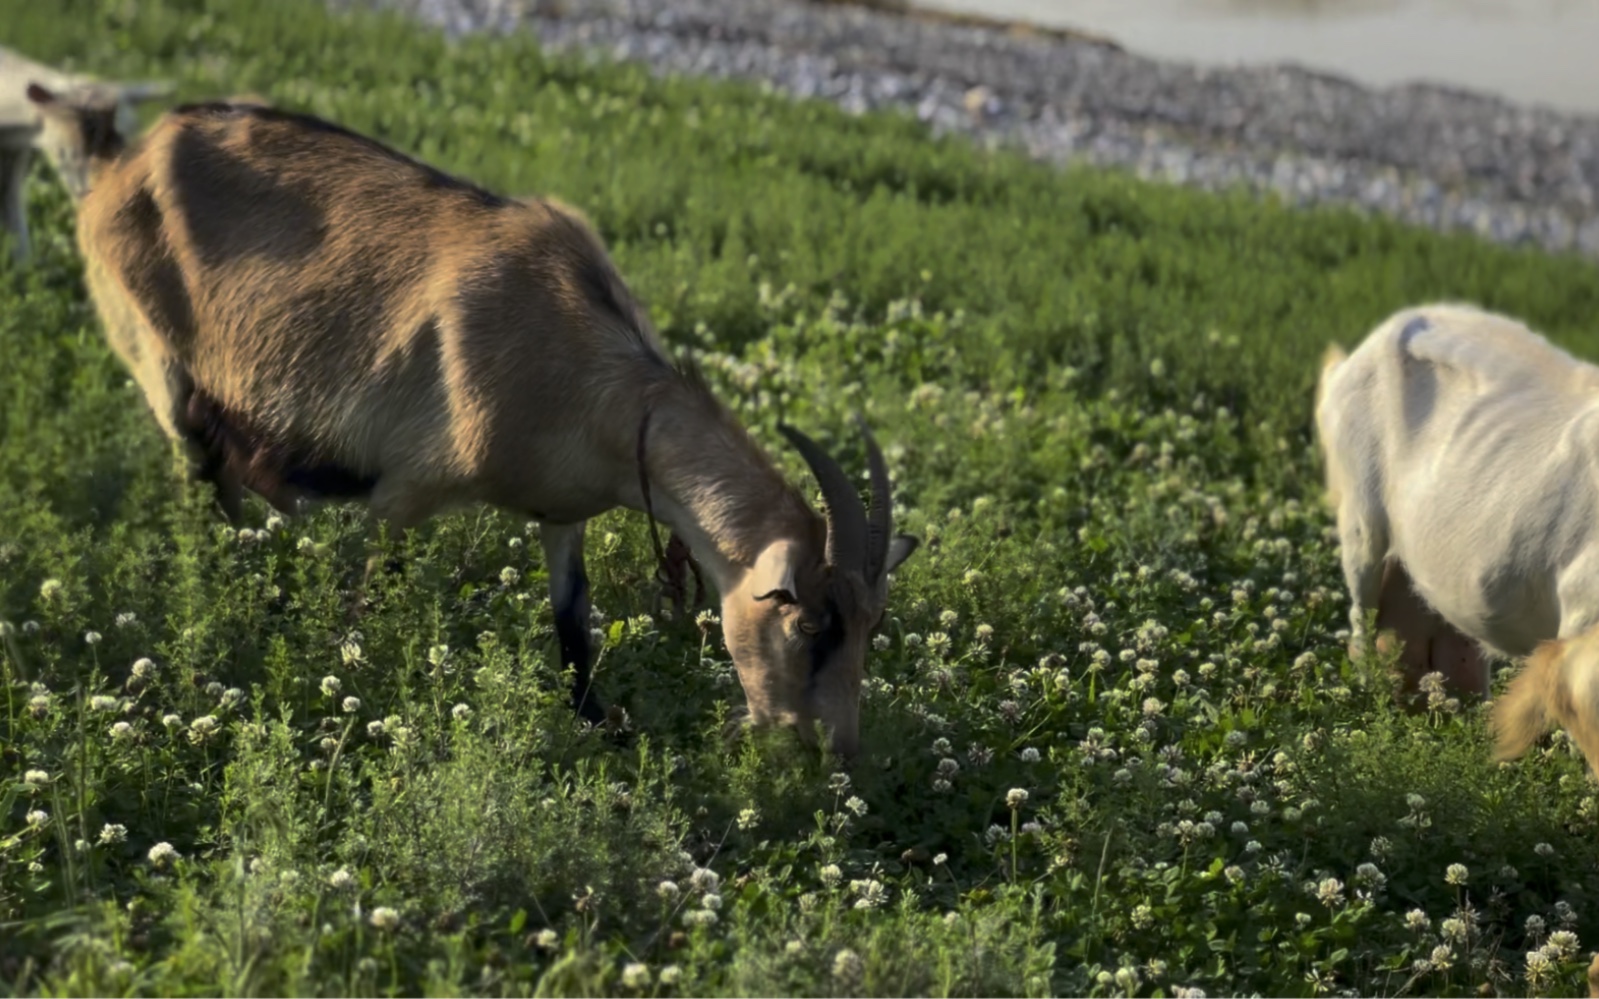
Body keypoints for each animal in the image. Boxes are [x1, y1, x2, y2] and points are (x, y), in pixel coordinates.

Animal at [31, 87, 921, 754]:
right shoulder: (406, 487)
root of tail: (119, 164)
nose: (831, 749)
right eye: (806, 620)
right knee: (199, 474)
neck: (590, 378)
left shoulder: (561, 513)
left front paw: (599, 722)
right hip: (158, 361)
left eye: (873, 625)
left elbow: (573, 625)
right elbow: (367, 602)